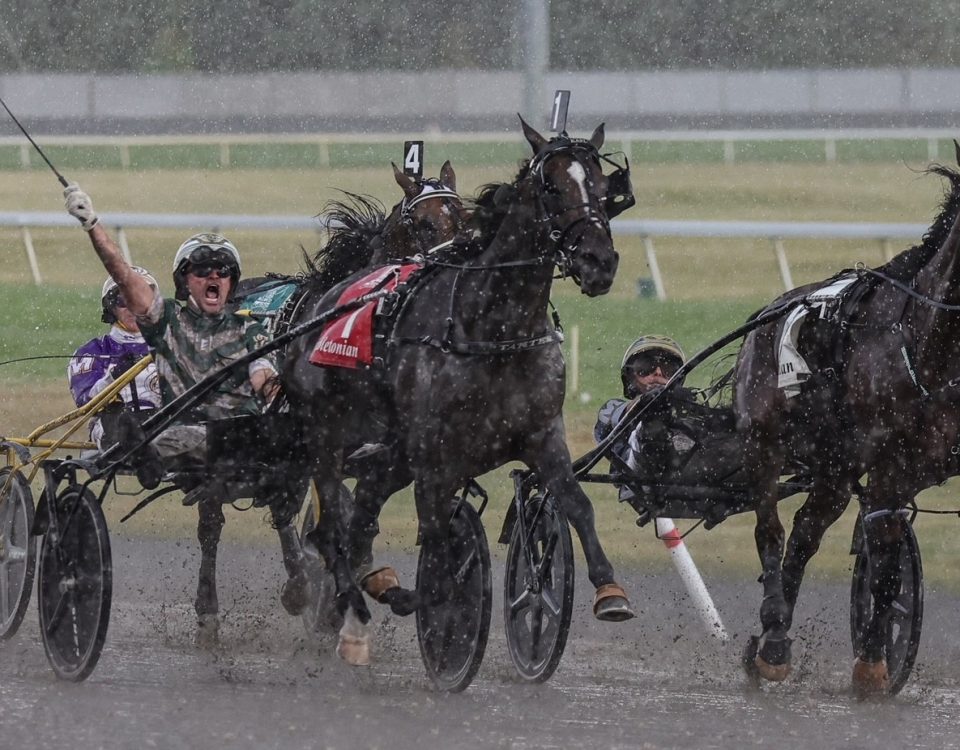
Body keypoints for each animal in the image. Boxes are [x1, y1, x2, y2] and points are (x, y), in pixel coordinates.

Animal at [282, 119, 632, 668]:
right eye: (552, 188)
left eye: (601, 187)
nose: (599, 261)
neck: (489, 328)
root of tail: (315, 310)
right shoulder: (432, 452)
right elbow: (436, 534)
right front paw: (441, 614)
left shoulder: (541, 434)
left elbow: (575, 503)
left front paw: (609, 591)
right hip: (326, 439)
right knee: (331, 529)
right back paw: (353, 602)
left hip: (389, 458)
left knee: (359, 523)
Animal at [732, 160, 960, 700]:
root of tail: (767, 314)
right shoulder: (890, 469)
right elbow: (886, 571)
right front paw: (873, 666)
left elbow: (884, 562)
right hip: (764, 443)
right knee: (772, 531)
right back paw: (773, 640)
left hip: (835, 470)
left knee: (804, 535)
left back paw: (772, 643)